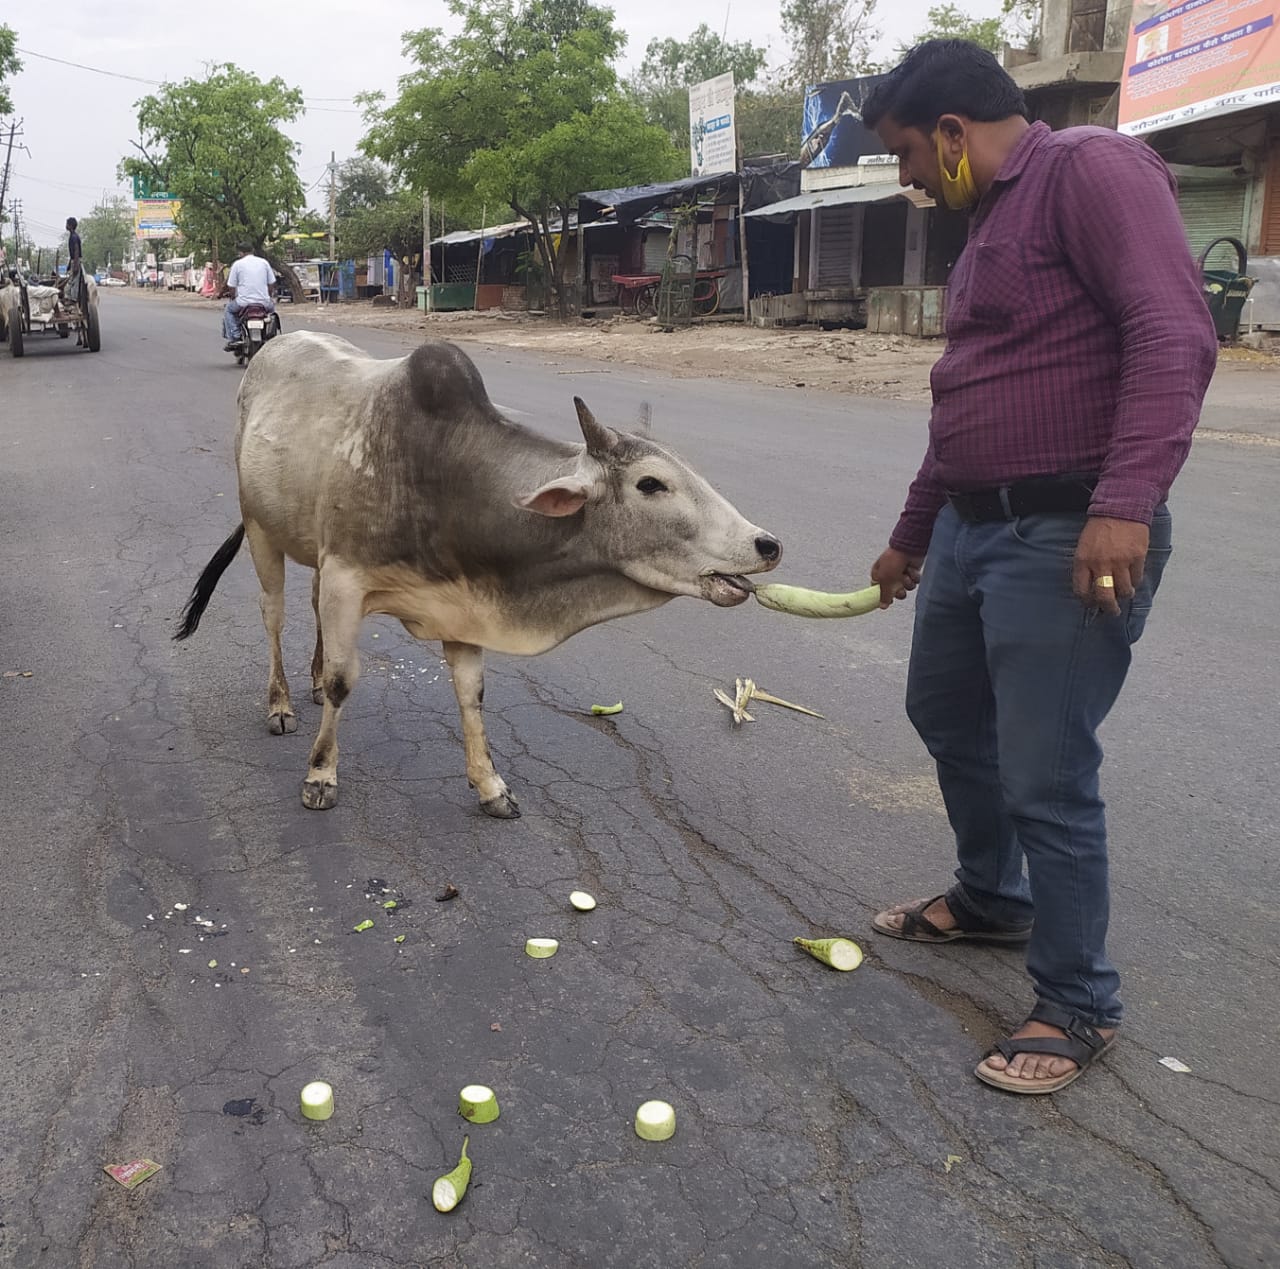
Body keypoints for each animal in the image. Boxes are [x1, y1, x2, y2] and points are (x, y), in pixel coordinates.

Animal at [175, 332, 778, 819]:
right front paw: (321, 775)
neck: (445, 474)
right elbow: (349, 680)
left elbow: (471, 694)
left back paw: (315, 680)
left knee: (310, 608)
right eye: (651, 484)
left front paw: (491, 787)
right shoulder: (349, 575)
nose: (767, 545)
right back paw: (280, 704)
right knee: (273, 615)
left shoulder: (460, 601)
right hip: (261, 530)